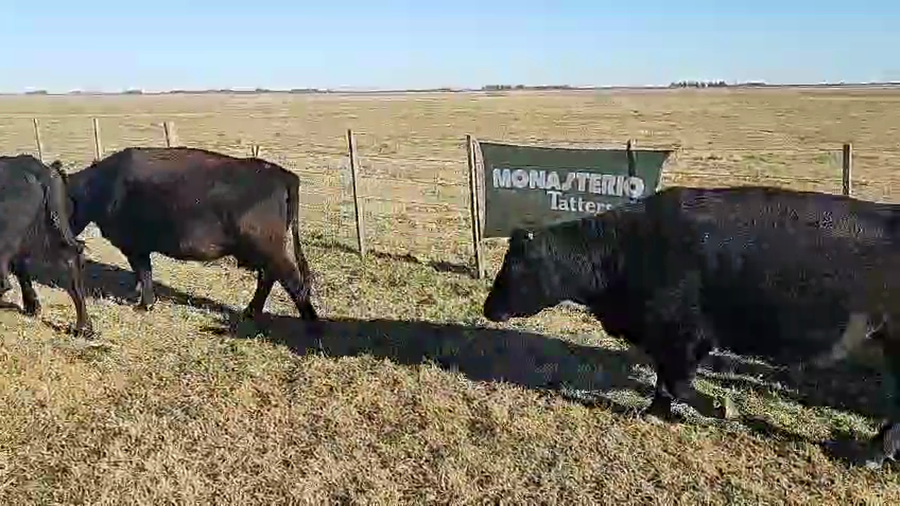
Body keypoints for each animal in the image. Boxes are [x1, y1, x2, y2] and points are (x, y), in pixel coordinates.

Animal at [64, 146, 318, 322]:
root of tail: (282, 174)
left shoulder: (134, 245)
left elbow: (144, 273)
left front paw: (144, 305)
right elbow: (144, 274)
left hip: (268, 247)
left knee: (291, 280)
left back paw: (311, 323)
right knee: (269, 277)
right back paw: (250, 312)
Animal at [482, 184, 900, 469]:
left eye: (515, 266)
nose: (488, 309)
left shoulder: (684, 336)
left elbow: (679, 383)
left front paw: (721, 407)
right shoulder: (664, 340)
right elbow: (663, 382)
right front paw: (654, 412)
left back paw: (872, 453)